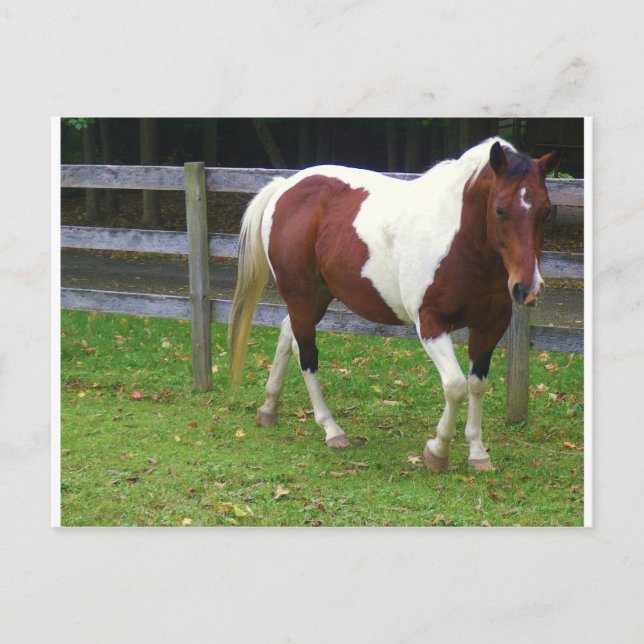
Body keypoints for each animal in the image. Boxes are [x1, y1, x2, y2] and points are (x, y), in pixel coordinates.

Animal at [228, 138, 560, 472]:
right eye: (500, 210)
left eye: (546, 212)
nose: (527, 288)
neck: (460, 239)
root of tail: (285, 187)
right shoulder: (430, 323)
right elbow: (455, 386)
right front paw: (437, 451)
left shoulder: (490, 326)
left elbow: (476, 385)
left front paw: (478, 453)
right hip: (301, 294)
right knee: (307, 355)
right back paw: (332, 430)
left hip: (315, 297)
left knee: (288, 334)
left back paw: (269, 408)